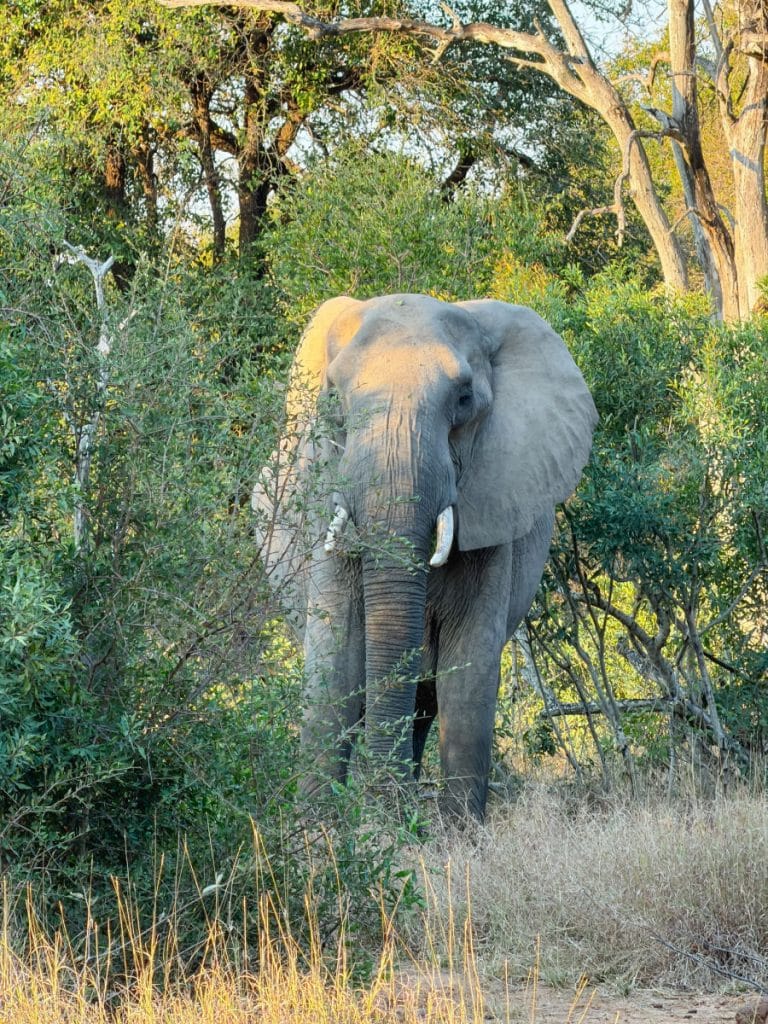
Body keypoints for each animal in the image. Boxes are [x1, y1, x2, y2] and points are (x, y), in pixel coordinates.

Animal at [252, 293, 597, 821]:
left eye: (464, 399)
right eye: (334, 400)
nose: (383, 806)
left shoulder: (494, 507)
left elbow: (469, 671)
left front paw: (454, 833)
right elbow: (333, 664)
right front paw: (319, 833)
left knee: (424, 700)